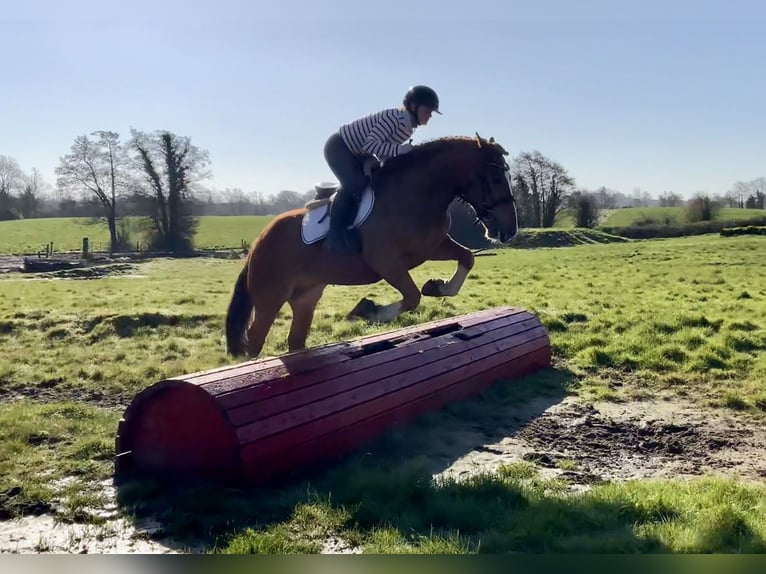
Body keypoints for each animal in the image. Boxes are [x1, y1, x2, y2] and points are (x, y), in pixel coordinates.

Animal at [224, 133, 519, 359]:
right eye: (495, 179)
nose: (510, 230)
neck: (418, 192)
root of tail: (258, 242)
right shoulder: (386, 262)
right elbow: (412, 296)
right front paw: (369, 311)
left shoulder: (433, 246)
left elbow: (467, 258)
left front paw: (437, 286)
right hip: (270, 297)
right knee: (255, 341)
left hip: (306, 296)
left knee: (295, 340)